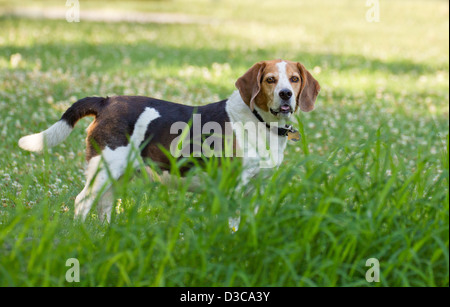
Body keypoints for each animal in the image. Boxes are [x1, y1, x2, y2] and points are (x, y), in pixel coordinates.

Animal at [18, 59, 320, 224]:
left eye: (294, 79)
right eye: (270, 80)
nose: (285, 94)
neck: (260, 121)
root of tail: (107, 101)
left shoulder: (256, 190)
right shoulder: (234, 186)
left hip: (115, 175)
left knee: (104, 206)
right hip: (103, 169)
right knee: (82, 203)